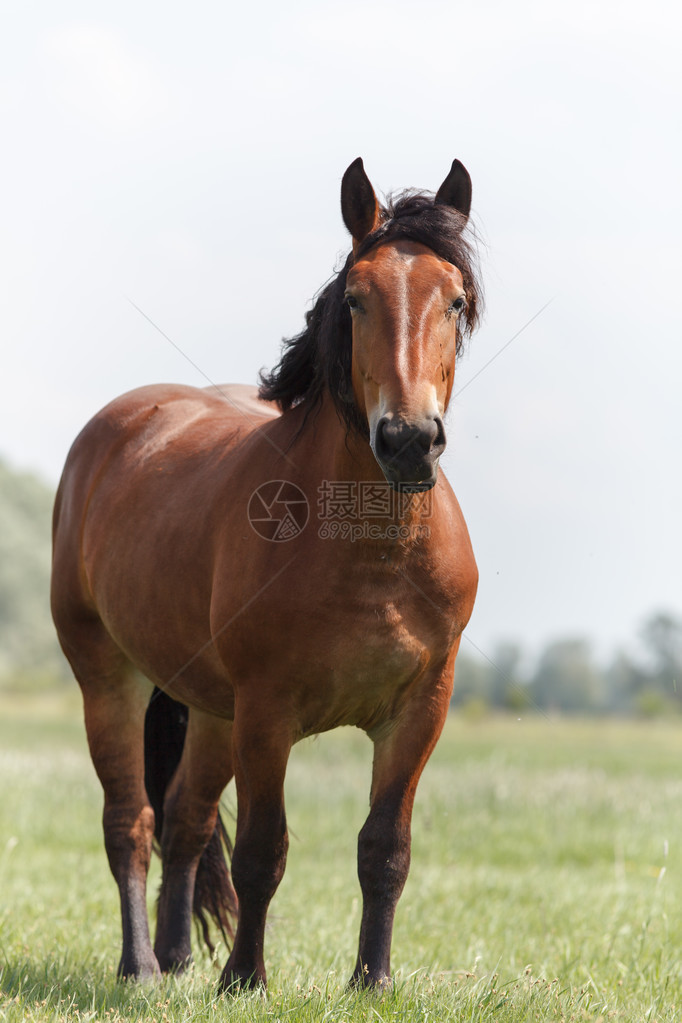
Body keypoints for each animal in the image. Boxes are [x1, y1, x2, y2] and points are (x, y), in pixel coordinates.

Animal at [50, 161, 482, 990]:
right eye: (357, 297)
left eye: (454, 299)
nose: (408, 439)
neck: (368, 553)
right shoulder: (267, 711)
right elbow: (261, 851)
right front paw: (244, 977)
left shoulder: (420, 711)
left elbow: (385, 848)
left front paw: (372, 978)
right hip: (110, 677)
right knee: (132, 822)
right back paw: (141, 966)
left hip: (211, 710)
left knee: (185, 818)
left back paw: (177, 958)